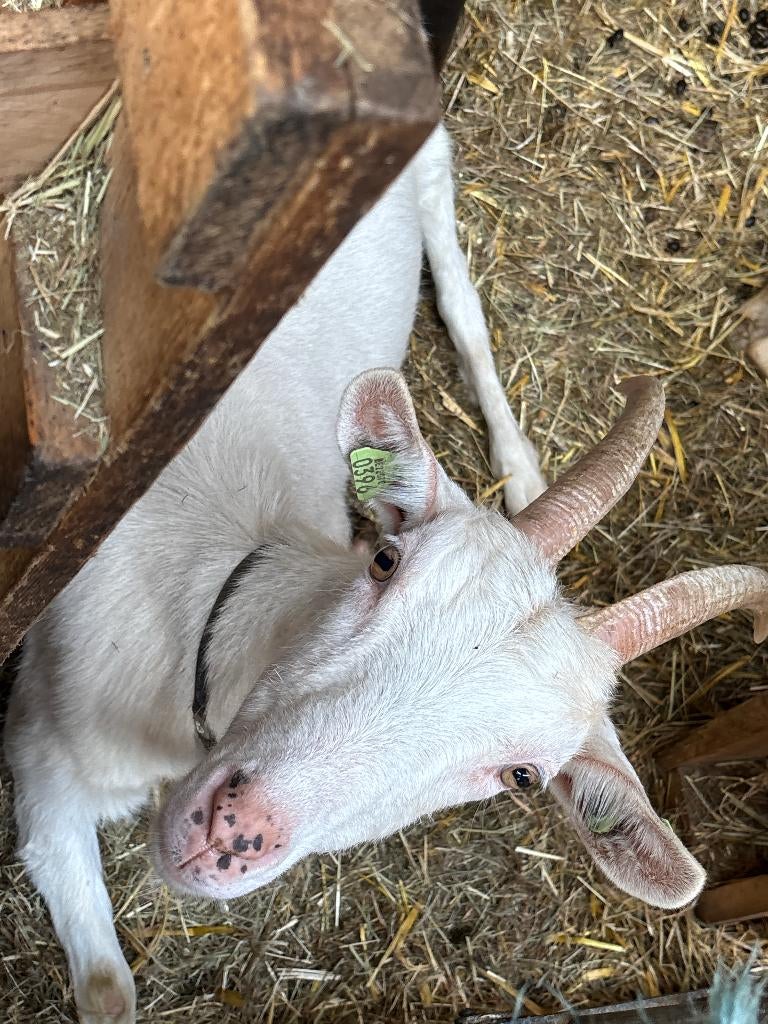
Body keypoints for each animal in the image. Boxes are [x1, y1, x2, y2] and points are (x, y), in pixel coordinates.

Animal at [5, 124, 768, 1024]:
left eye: (521, 777)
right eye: (384, 561)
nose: (232, 830)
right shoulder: (46, 757)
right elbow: (107, 990)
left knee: (468, 315)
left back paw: (523, 468)